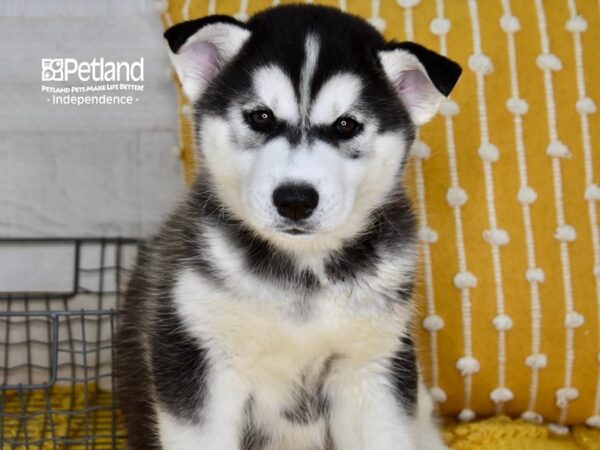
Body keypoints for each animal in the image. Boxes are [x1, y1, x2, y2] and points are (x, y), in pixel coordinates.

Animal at [118, 4, 464, 450]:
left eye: (346, 125)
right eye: (261, 116)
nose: (295, 200)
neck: (302, 273)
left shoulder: (371, 368)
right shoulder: (198, 359)